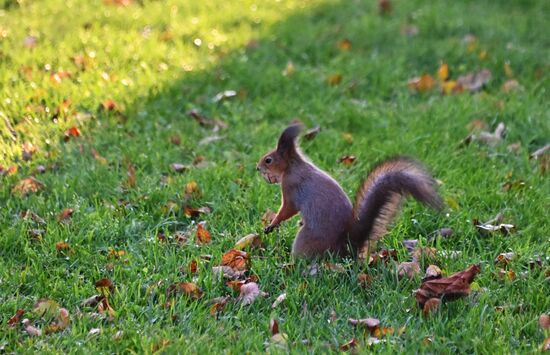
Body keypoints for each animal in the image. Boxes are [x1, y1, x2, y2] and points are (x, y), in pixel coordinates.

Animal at [258, 123, 444, 258]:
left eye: (268, 160)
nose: (257, 168)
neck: (292, 166)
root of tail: (346, 247)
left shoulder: (291, 187)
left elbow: (287, 209)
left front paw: (272, 224)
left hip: (306, 239)